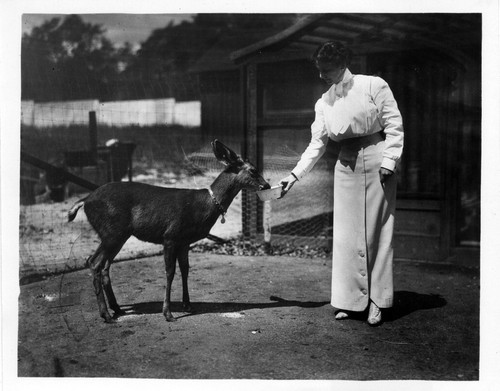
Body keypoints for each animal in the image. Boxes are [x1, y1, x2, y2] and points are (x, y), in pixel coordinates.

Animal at [68, 141, 270, 324]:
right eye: (253, 170)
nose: (267, 185)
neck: (203, 206)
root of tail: (85, 200)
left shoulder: (184, 241)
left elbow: (185, 270)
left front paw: (187, 305)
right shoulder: (170, 236)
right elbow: (170, 272)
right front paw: (168, 313)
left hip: (117, 234)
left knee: (104, 266)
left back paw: (117, 308)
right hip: (112, 231)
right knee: (94, 262)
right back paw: (106, 315)